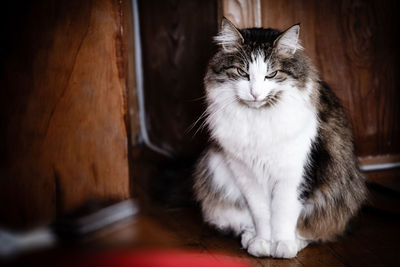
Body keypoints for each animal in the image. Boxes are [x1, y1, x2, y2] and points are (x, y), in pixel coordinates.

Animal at [193, 18, 366, 260]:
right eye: (242, 72)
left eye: (271, 74)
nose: (255, 94)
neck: (258, 120)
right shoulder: (247, 174)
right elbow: (262, 214)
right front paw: (263, 243)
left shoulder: (294, 174)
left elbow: (284, 213)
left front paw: (283, 245)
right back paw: (250, 237)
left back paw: (296, 241)